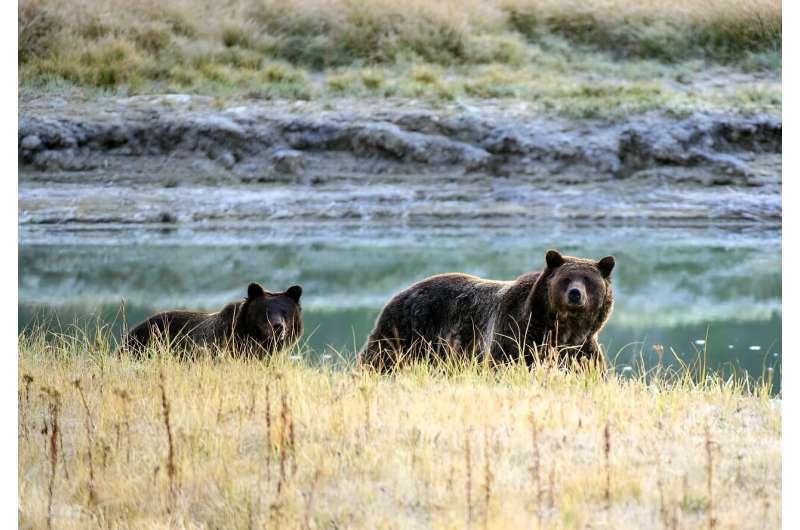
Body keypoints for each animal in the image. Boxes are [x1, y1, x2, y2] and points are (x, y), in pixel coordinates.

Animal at [360, 250, 616, 370]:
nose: (575, 294)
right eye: (566, 278)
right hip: (407, 332)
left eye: (588, 280)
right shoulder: (515, 335)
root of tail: (400, 293)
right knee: (380, 359)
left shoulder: (581, 350)